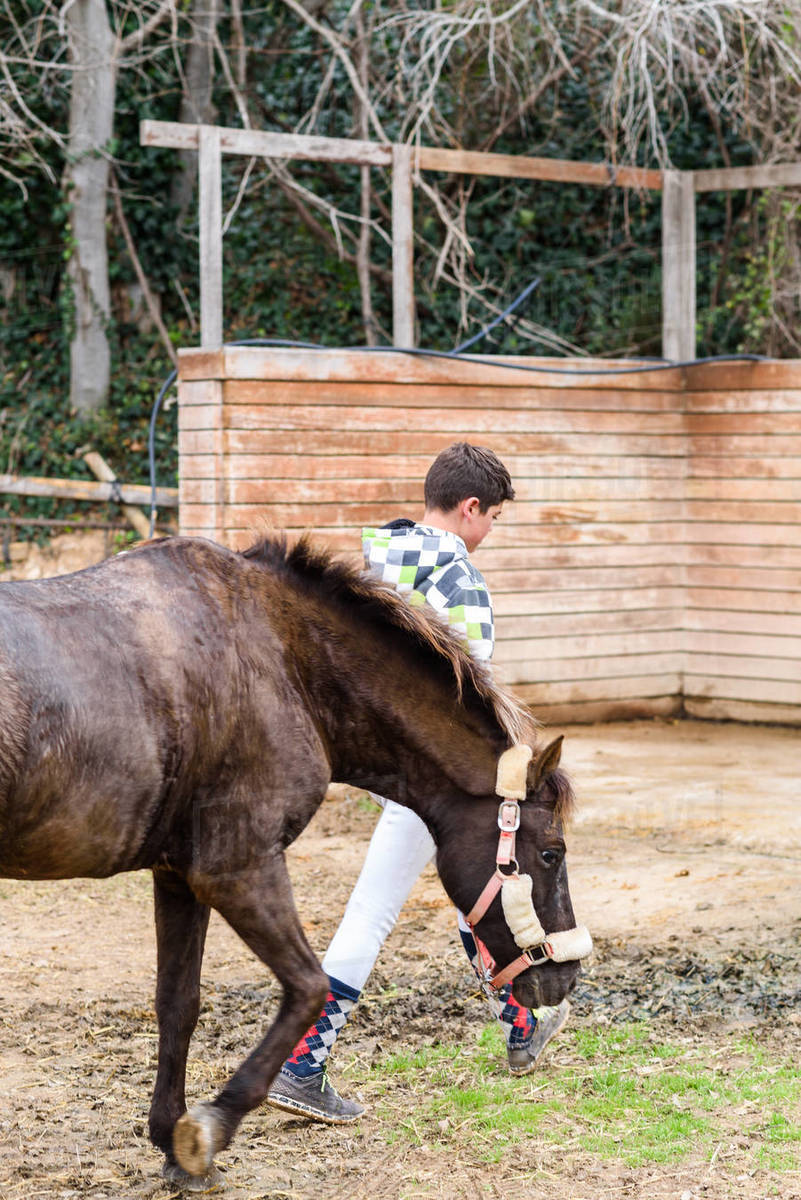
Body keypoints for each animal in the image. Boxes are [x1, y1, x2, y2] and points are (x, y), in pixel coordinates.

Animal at [0, 532, 584, 1184]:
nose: (565, 978)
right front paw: (209, 1127)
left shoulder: (177, 877)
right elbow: (308, 988)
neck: (284, 662)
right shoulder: (238, 869)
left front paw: (172, 1141)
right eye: (552, 852)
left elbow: (178, 1003)